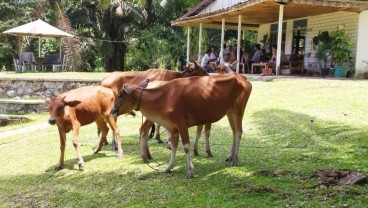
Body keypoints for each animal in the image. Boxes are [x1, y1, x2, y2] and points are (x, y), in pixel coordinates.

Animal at [110, 74, 252, 178]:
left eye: (120, 95)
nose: (112, 111)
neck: (165, 97)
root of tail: (242, 78)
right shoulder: (173, 128)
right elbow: (174, 147)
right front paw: (168, 167)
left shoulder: (182, 125)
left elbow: (186, 147)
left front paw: (190, 171)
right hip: (230, 113)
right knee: (234, 132)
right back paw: (230, 156)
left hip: (239, 110)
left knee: (239, 132)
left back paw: (235, 159)